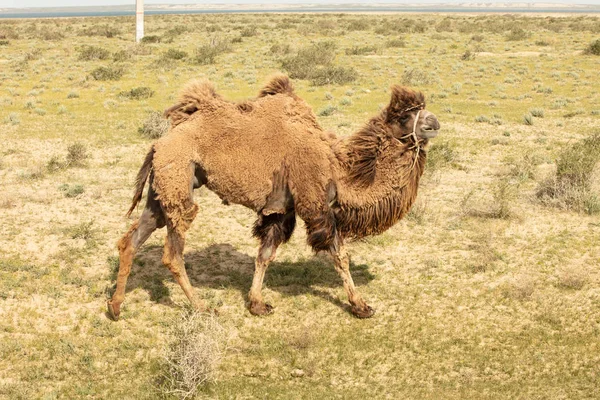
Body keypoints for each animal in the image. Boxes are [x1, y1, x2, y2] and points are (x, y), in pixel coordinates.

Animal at [106, 73, 440, 320]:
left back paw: (115, 307)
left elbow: (265, 254)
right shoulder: (315, 203)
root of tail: (158, 144)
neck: (337, 167)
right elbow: (339, 255)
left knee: (131, 240)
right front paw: (361, 306)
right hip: (178, 182)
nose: (434, 122)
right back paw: (202, 307)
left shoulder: (281, 209)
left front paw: (256, 303)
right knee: (172, 253)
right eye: (404, 115)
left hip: (162, 190)